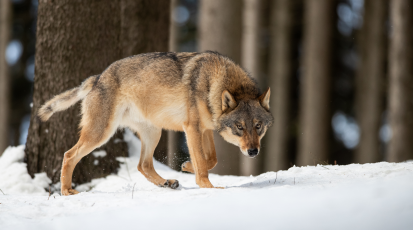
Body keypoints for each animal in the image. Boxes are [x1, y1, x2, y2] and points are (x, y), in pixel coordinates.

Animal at [37, 51, 270, 195]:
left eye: (258, 126)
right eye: (240, 127)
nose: (253, 152)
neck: (214, 82)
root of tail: (97, 78)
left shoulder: (205, 129)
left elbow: (210, 159)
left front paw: (188, 166)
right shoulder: (192, 128)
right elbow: (204, 163)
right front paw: (208, 187)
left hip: (153, 132)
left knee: (143, 165)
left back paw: (166, 182)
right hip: (101, 134)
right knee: (68, 155)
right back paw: (66, 191)